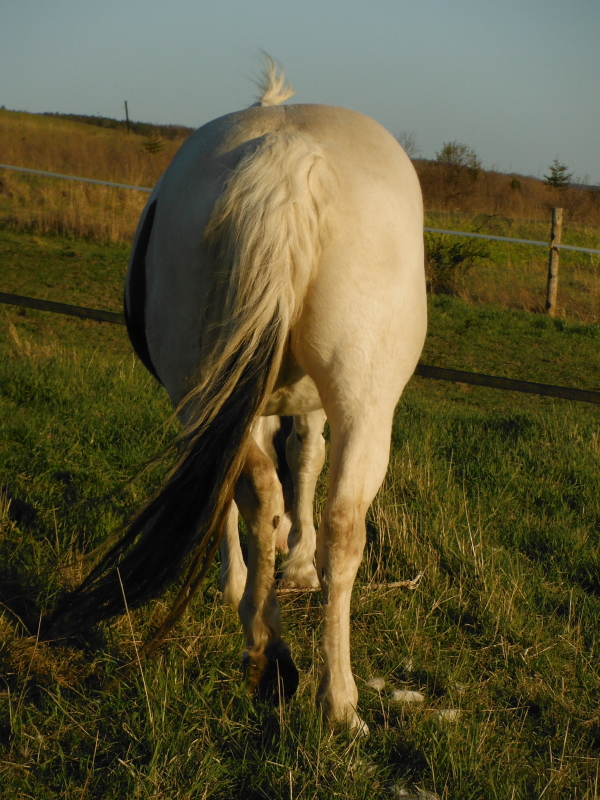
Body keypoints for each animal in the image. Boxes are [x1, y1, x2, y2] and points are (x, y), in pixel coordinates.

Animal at [46, 58, 427, 733]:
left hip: (221, 394)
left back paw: (276, 652)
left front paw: (260, 574)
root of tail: (285, 155)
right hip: (359, 401)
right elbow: (297, 467)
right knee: (335, 518)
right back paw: (329, 692)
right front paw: (287, 568)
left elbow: (277, 471)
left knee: (263, 491)